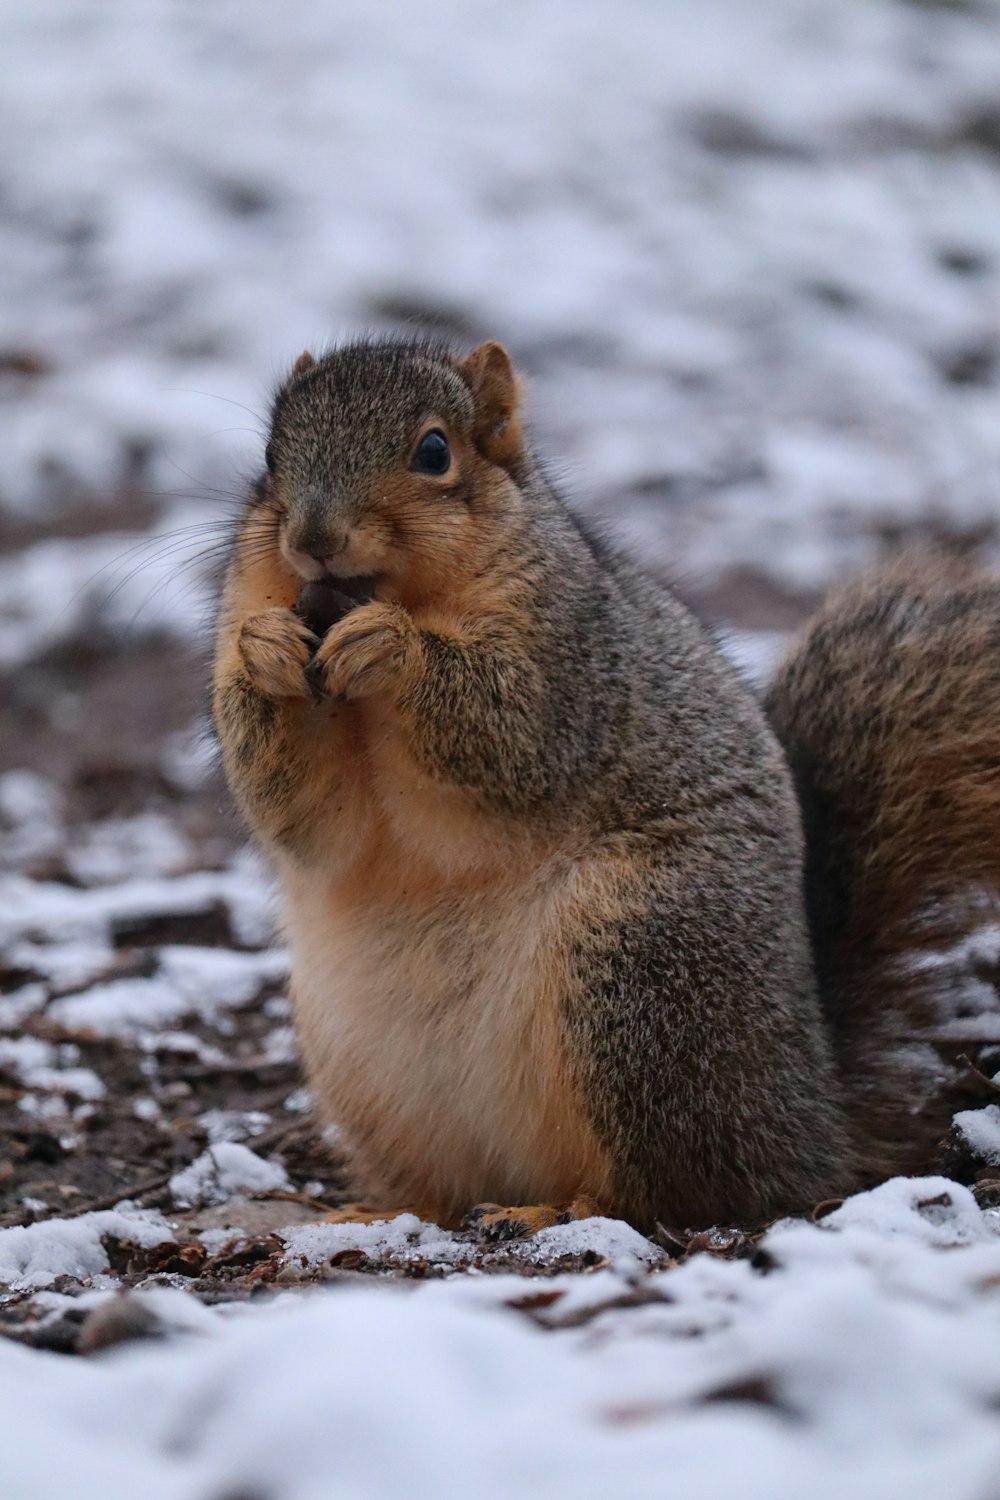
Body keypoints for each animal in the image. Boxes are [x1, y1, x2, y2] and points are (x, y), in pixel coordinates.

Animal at [209, 337, 995, 1230]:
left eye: (434, 452)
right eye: (269, 457)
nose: (312, 538)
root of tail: (809, 1113)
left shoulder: (572, 662)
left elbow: (512, 733)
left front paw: (393, 646)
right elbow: (300, 817)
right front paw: (266, 652)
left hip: (637, 978)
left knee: (672, 1188)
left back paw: (555, 1211)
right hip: (366, 1066)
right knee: (450, 1188)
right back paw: (381, 1213)